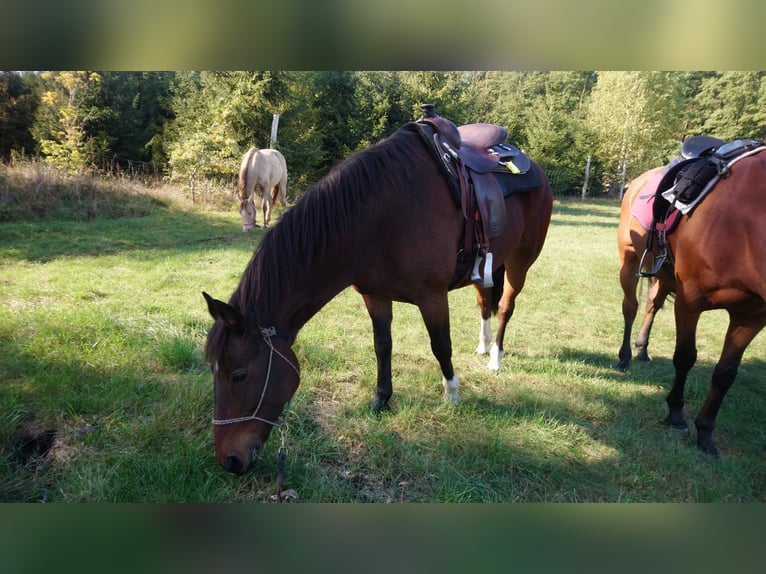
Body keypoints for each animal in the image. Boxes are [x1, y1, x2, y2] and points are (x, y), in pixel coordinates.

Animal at [204, 113, 552, 476]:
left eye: (239, 374)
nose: (229, 461)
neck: (379, 215)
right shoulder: (374, 295)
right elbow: (382, 346)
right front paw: (381, 400)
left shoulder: (432, 297)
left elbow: (441, 346)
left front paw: (452, 394)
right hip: (489, 265)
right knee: (485, 301)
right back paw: (483, 345)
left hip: (520, 262)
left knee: (506, 307)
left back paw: (495, 356)